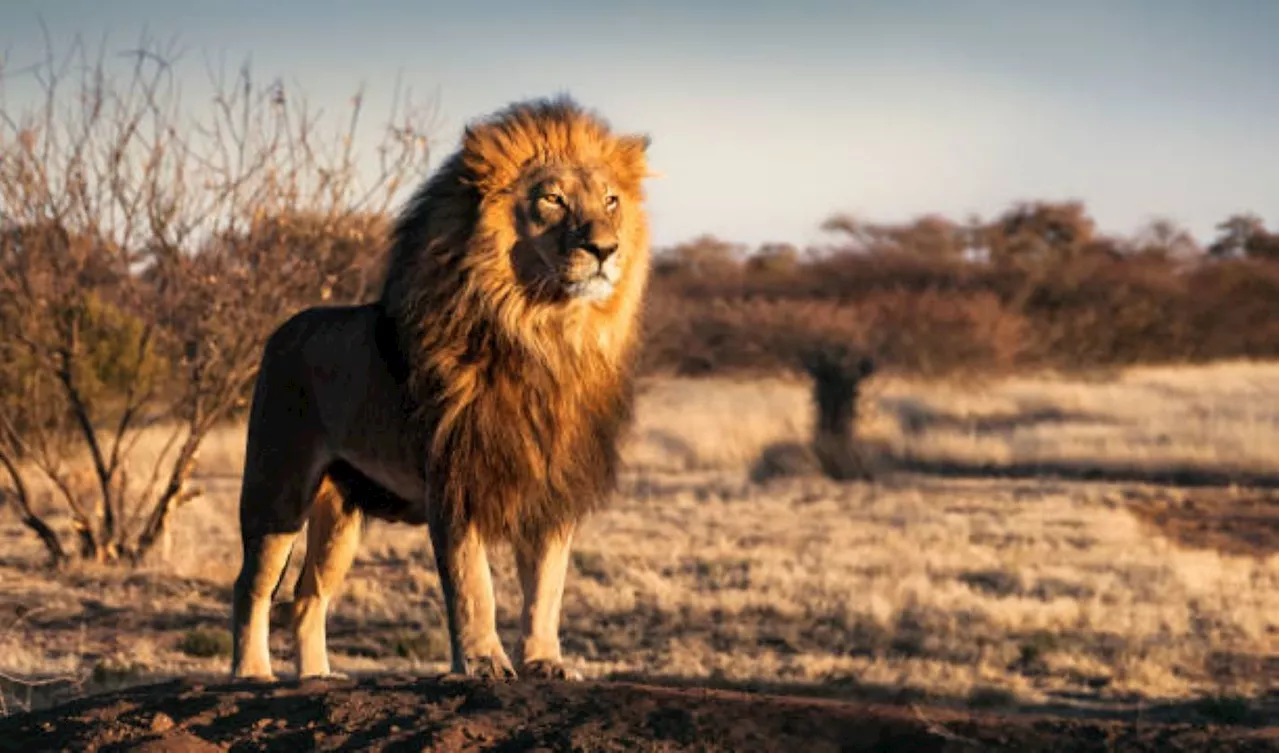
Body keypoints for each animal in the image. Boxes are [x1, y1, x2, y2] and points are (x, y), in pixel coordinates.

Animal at [227, 95, 650, 681]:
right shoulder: (454, 479)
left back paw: (317, 677)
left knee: (308, 596)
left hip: (340, 513)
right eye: (553, 199)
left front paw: (545, 661)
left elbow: (547, 587)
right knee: (252, 586)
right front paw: (483, 662)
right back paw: (252, 674)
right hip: (277, 489)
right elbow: (474, 585)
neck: (544, 334)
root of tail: (282, 329)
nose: (606, 248)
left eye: (611, 201)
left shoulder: (551, 486)